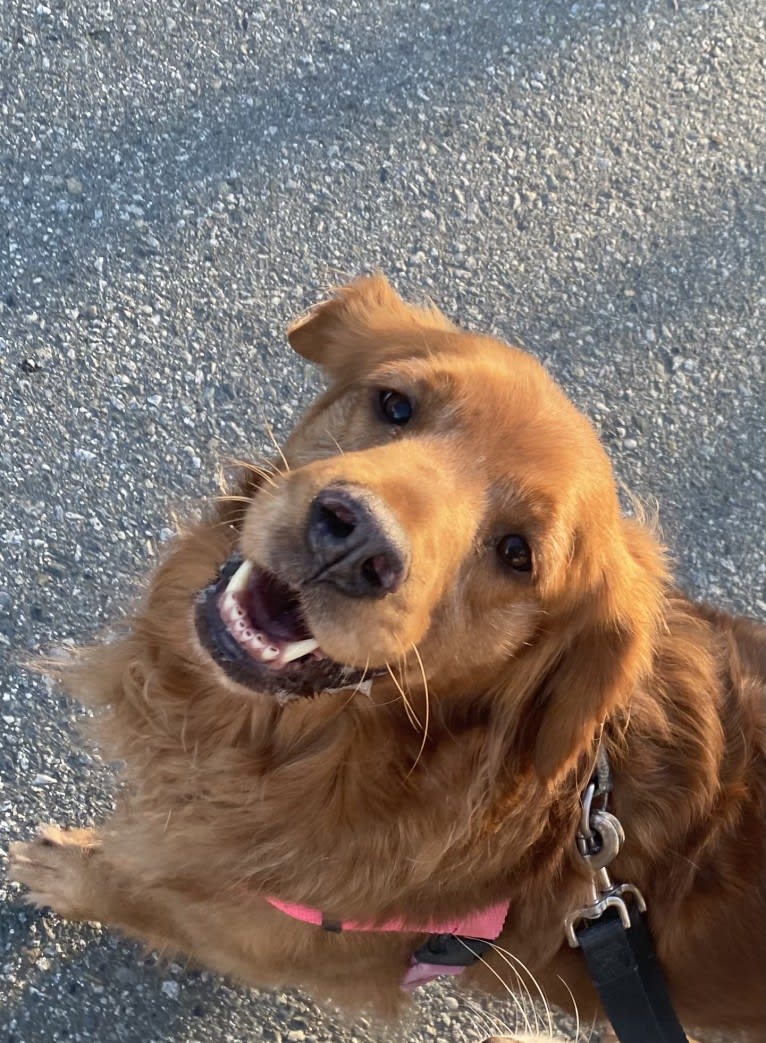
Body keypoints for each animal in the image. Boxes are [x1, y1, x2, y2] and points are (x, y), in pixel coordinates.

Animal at [7, 273, 766, 1038]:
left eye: (516, 553)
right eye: (395, 403)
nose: (355, 542)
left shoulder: (254, 929)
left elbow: (147, 895)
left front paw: (66, 868)